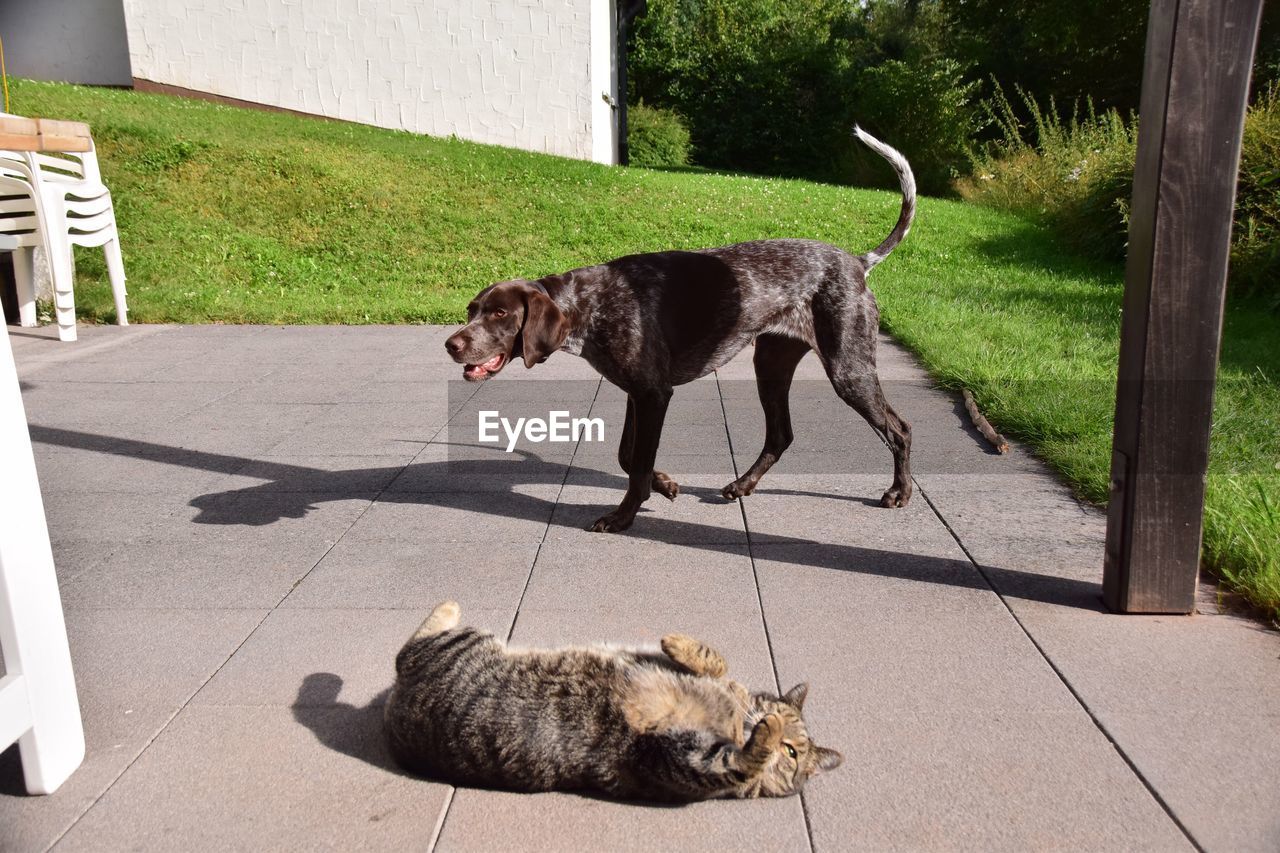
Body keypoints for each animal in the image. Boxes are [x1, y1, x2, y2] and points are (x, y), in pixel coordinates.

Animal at [381, 596, 839, 799]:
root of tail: (399, 703)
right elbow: (717, 664)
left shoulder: (689, 761)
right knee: (406, 647)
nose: (780, 740)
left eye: (794, 754)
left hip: (457, 648)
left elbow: (744, 760)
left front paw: (764, 735)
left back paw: (448, 606)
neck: (733, 721)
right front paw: (680, 644)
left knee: (407, 647)